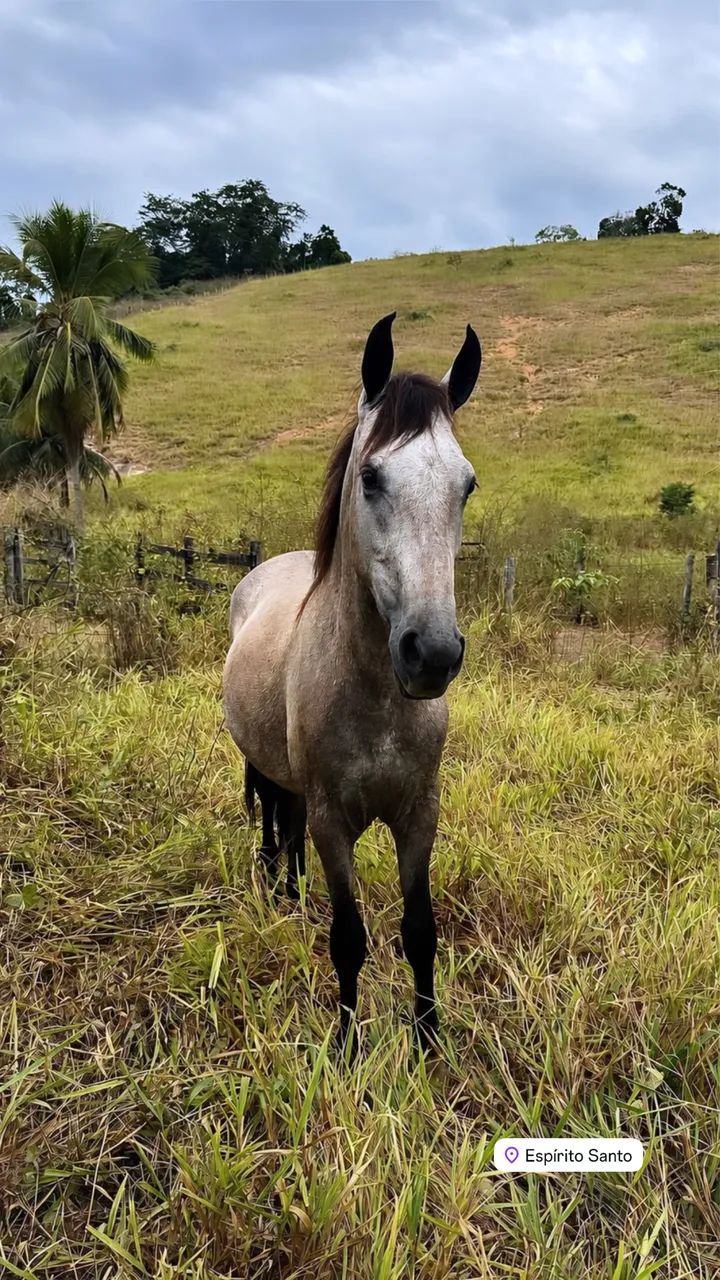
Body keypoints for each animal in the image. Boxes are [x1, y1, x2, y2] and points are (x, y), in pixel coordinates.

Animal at [223, 312, 481, 1051]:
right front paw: (345, 1043)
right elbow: (348, 939)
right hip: (266, 767)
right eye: (371, 477)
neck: (374, 700)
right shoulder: (333, 822)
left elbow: (419, 932)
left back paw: (290, 888)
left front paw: (427, 1037)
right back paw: (277, 888)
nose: (432, 655)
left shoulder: (419, 814)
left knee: (285, 821)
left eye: (466, 484)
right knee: (273, 818)